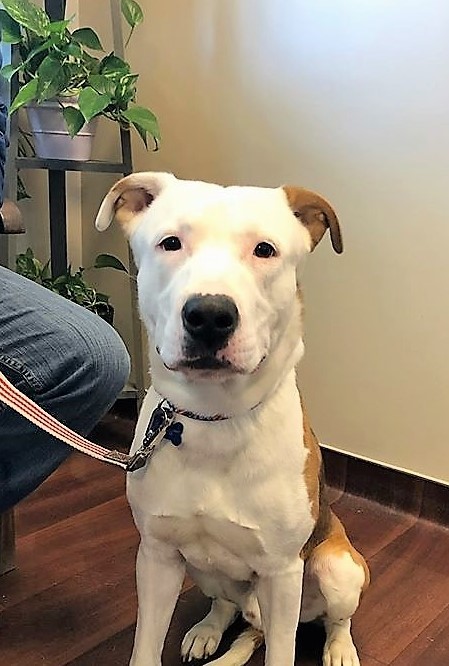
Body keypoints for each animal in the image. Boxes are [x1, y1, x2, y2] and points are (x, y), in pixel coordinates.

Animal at [94, 172, 368, 664]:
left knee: (332, 618)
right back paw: (208, 632)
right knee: (231, 611)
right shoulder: (157, 556)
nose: (208, 315)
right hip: (205, 571)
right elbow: (146, 645)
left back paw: (339, 649)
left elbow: (282, 651)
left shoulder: (281, 573)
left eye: (265, 249)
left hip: (337, 568)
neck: (213, 419)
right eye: (170, 242)